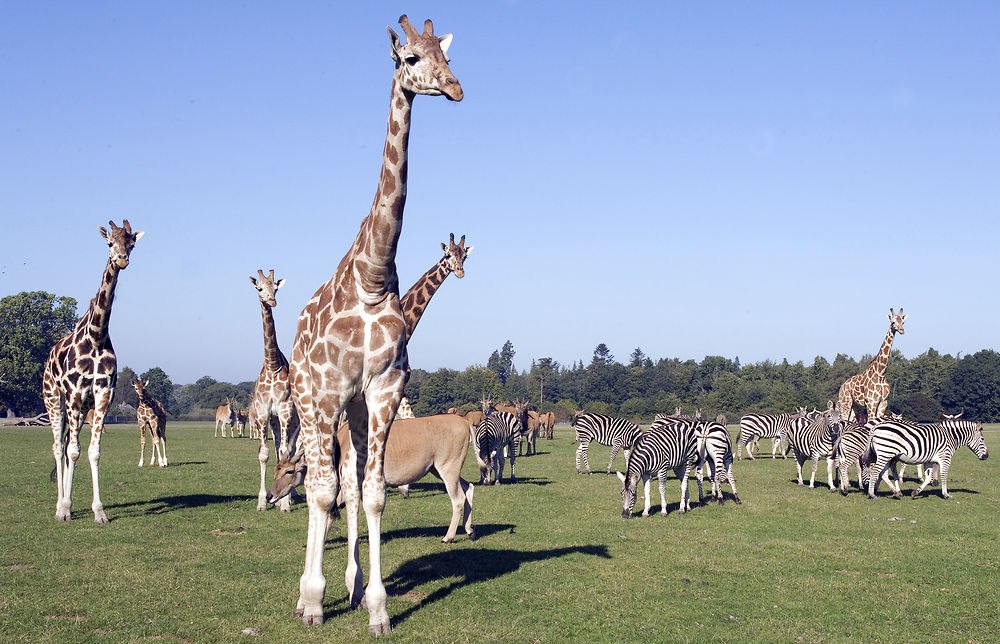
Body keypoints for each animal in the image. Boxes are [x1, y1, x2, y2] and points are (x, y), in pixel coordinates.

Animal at [43, 219, 143, 520]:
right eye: (109, 242)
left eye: (131, 243)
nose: (121, 259)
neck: (96, 336)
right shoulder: (75, 394)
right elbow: (74, 451)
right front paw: (65, 509)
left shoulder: (102, 395)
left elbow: (94, 451)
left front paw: (99, 511)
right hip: (54, 399)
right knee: (58, 447)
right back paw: (59, 505)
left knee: (65, 445)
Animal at [288, 15, 462, 632]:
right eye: (410, 58)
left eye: (446, 54)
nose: (455, 88)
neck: (372, 275)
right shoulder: (327, 394)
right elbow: (320, 494)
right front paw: (314, 601)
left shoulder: (384, 390)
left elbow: (373, 493)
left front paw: (377, 606)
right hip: (311, 403)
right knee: (320, 486)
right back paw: (309, 594)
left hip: (356, 411)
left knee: (353, 479)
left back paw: (356, 582)